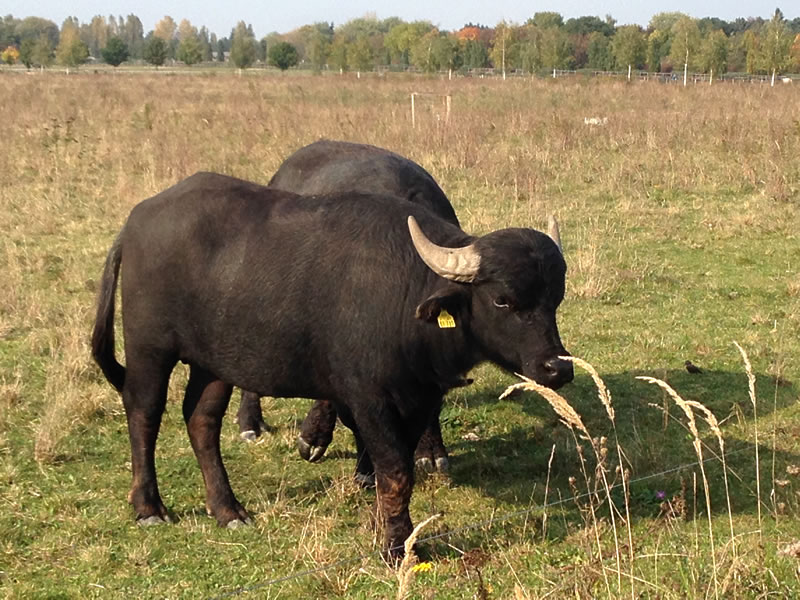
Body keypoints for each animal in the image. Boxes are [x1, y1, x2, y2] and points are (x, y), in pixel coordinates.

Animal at [90, 173, 572, 556]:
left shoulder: (419, 399)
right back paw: (149, 506)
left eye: (555, 298)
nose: (557, 368)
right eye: (503, 299)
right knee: (144, 412)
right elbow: (395, 471)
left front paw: (387, 526)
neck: (403, 295)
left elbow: (397, 469)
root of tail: (137, 221)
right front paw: (397, 547)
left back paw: (227, 509)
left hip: (214, 362)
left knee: (201, 420)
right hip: (150, 347)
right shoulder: (369, 398)